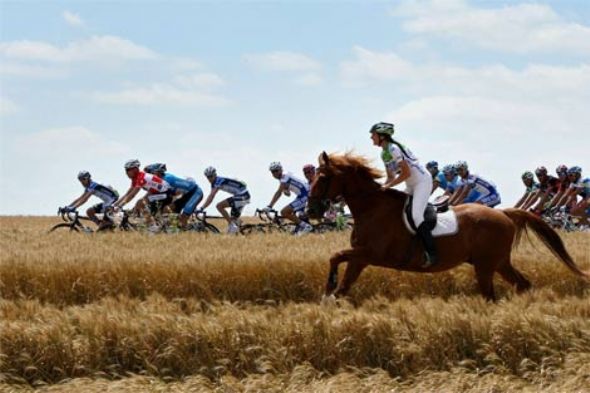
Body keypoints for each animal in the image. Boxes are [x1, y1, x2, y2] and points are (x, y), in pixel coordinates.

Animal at [308, 151, 588, 300]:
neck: (371, 208)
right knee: (522, 284)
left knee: (491, 295)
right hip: (498, 262)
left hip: (486, 265)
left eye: (322, 177)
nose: (311, 211)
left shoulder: (372, 253)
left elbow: (336, 256)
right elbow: (343, 283)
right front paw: (331, 297)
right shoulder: (361, 258)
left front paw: (328, 287)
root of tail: (504, 215)